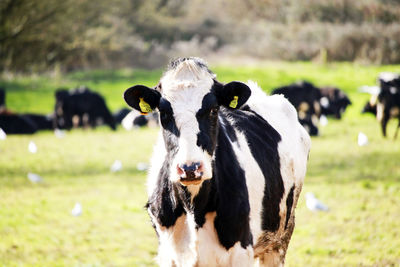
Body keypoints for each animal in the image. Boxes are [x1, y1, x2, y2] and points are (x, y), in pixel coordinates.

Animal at [123, 57, 310, 266]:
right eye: (163, 112)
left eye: (213, 110)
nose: (190, 168)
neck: (194, 209)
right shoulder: (167, 254)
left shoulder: (241, 251)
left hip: (280, 237)